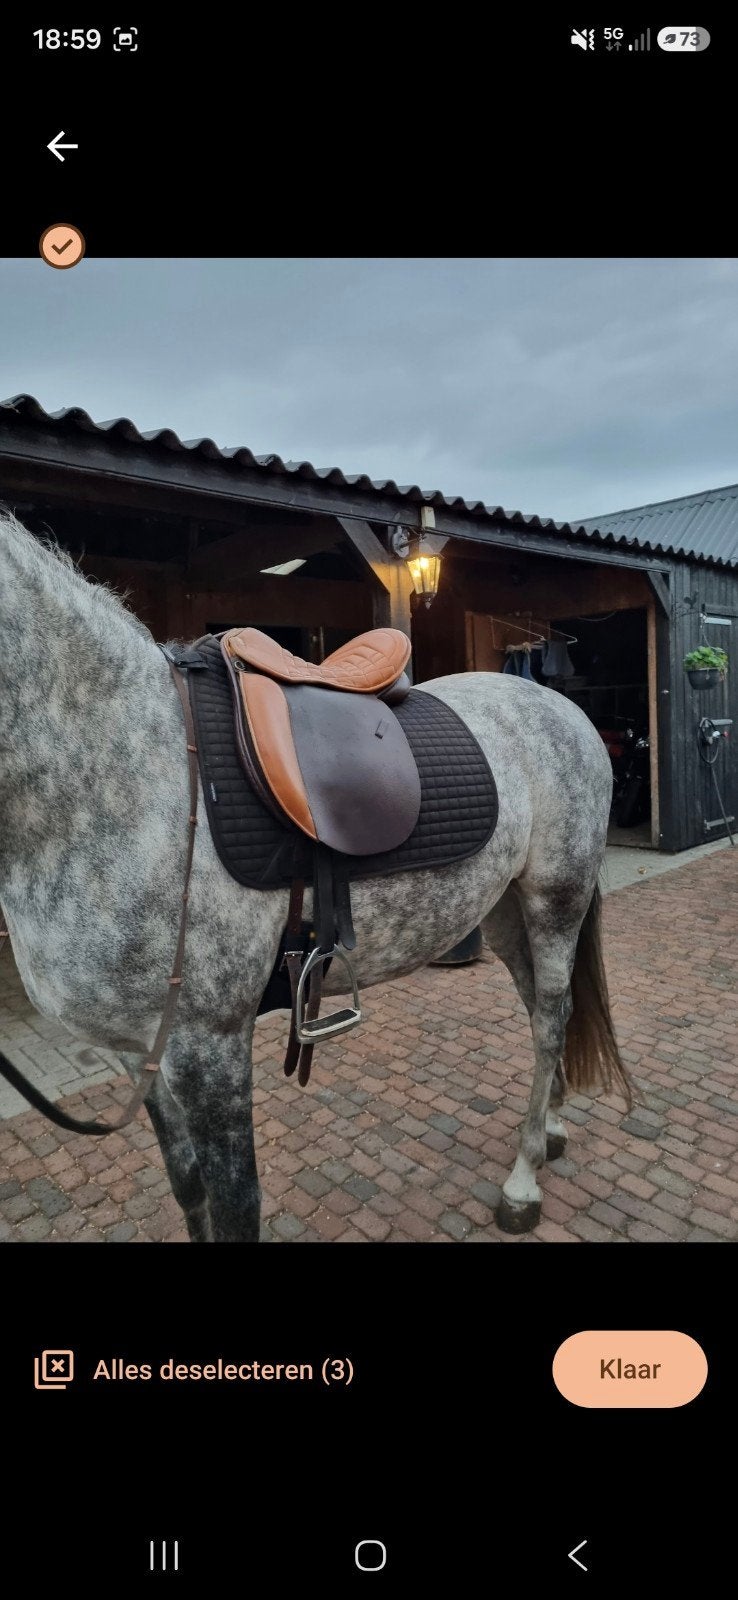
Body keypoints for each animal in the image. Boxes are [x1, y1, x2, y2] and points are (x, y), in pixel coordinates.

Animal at [0, 511, 629, 1241]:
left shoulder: (208, 1047)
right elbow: (189, 1190)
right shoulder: (140, 1053)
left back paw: (523, 1180)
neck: (122, 770)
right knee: (536, 1010)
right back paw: (550, 1128)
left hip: (557, 898)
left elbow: (236, 1204)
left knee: (553, 1014)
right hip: (503, 909)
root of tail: (561, 708)